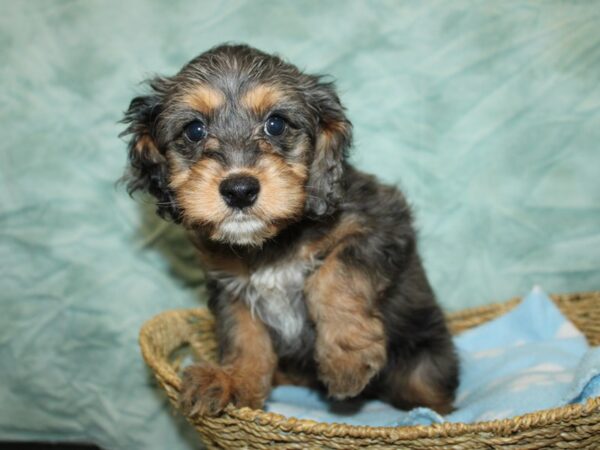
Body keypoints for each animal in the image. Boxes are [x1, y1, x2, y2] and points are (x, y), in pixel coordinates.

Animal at [122, 44, 460, 416]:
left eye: (276, 124)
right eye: (194, 130)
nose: (239, 190)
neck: (271, 242)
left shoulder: (383, 224)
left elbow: (334, 276)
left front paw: (346, 362)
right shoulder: (227, 283)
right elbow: (243, 335)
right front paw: (235, 380)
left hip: (425, 370)